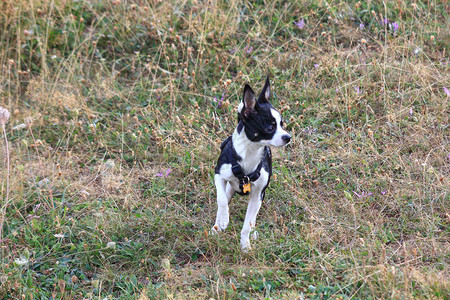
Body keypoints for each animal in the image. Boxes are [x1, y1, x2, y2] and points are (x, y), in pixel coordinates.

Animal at [212, 75, 292, 251]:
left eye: (282, 125)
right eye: (270, 128)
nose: (288, 137)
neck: (250, 153)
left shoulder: (258, 195)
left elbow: (247, 224)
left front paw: (245, 245)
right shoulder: (219, 174)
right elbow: (221, 200)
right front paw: (223, 220)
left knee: (251, 218)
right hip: (229, 187)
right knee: (225, 197)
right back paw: (216, 226)